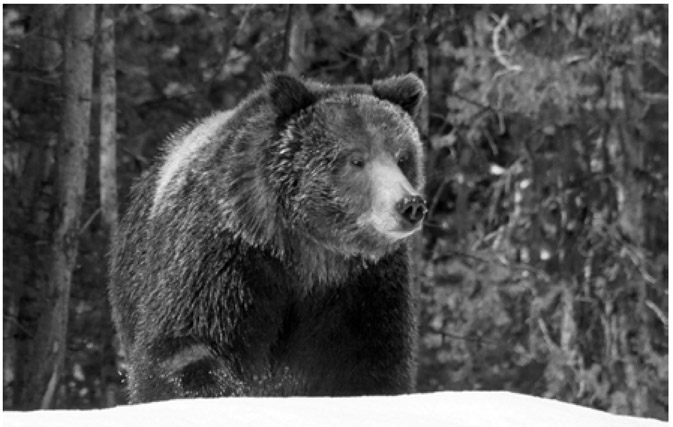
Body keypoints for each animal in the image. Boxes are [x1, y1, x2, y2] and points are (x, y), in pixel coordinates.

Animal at [109, 72, 426, 402]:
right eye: (356, 159)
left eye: (403, 157)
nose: (410, 205)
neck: (305, 250)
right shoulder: (226, 257)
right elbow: (185, 345)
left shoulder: (363, 285)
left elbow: (370, 358)